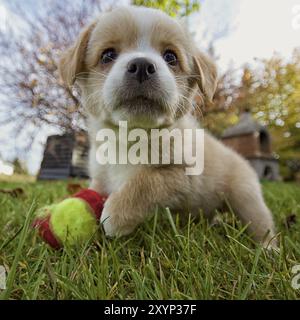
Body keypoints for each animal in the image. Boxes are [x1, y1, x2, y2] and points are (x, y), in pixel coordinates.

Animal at [58, 6, 276, 249]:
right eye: (107, 55)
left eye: (170, 57)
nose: (142, 66)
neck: (131, 136)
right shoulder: (101, 177)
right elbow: (95, 189)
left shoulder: (180, 174)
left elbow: (145, 183)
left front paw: (115, 216)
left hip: (246, 198)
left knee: (262, 224)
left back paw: (269, 249)